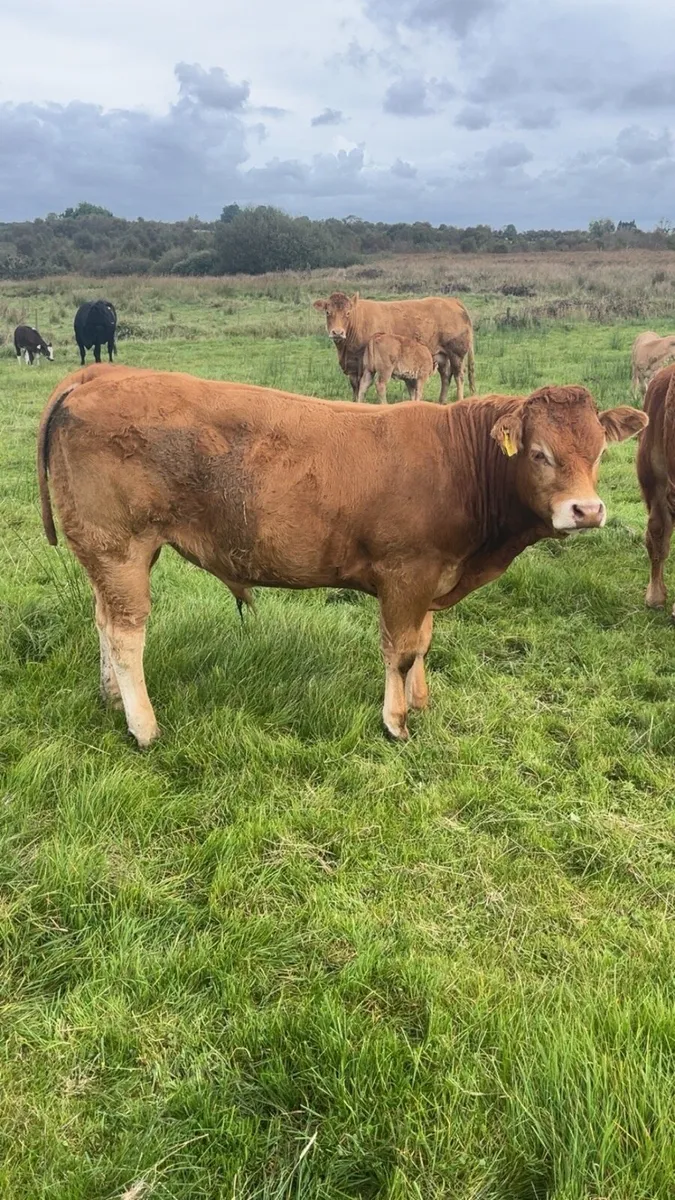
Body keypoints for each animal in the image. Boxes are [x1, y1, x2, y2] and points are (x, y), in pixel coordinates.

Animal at [37, 372, 646, 747]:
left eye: (599, 452)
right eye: (540, 454)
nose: (587, 510)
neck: (459, 460)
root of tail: (98, 377)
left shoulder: (430, 576)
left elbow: (422, 643)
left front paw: (420, 703)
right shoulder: (406, 573)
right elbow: (401, 650)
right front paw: (396, 722)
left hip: (111, 555)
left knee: (103, 622)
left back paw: (111, 700)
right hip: (119, 546)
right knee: (126, 633)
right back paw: (144, 727)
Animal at [314, 290, 476, 403]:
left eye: (348, 313)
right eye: (328, 312)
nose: (337, 332)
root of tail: (452, 301)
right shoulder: (353, 367)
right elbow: (356, 388)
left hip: (456, 354)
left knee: (459, 376)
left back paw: (459, 400)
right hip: (442, 355)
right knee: (446, 376)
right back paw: (441, 401)